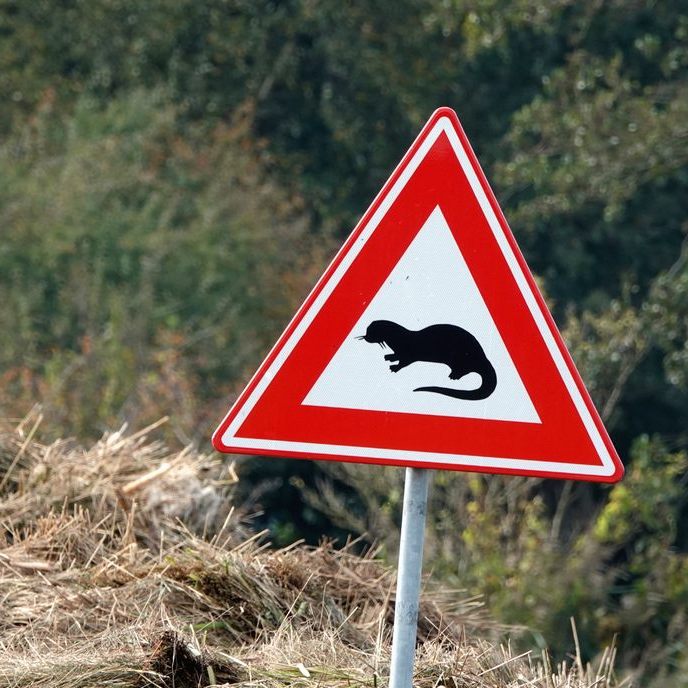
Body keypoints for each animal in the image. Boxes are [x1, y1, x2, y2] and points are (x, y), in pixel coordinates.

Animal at [358, 319, 497, 400]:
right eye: (367, 331)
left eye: (371, 332)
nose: (365, 337)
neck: (398, 339)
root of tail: (484, 358)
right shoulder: (400, 351)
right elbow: (397, 355)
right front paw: (389, 357)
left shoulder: (409, 353)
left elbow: (404, 361)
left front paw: (395, 367)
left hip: (460, 358)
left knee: (464, 370)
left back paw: (453, 375)